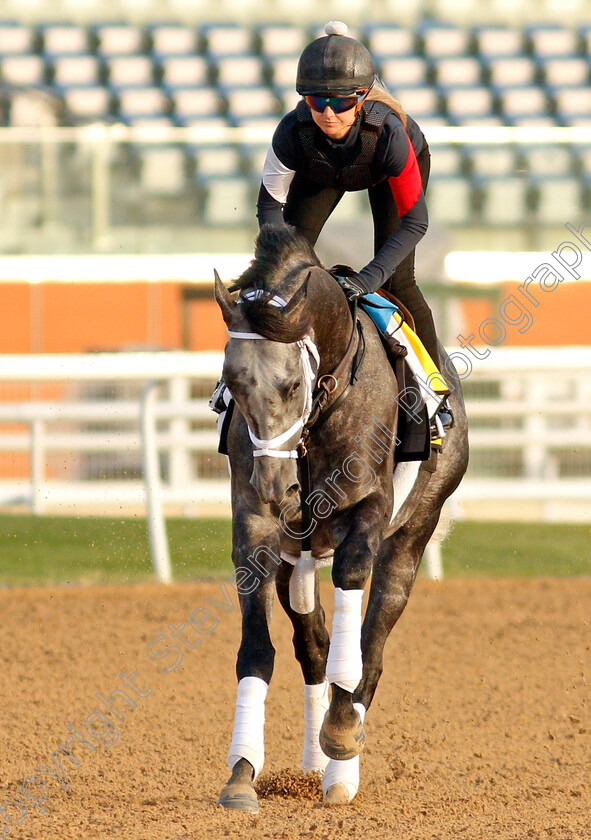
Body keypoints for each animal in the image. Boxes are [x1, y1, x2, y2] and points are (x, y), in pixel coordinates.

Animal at [215, 221, 470, 808]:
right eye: (233, 385)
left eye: (291, 385)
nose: (276, 487)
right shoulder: (256, 526)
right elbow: (258, 649)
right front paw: (242, 772)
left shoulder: (369, 510)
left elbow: (354, 614)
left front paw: (339, 736)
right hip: (297, 554)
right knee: (312, 644)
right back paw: (314, 766)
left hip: (413, 534)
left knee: (370, 645)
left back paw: (340, 768)